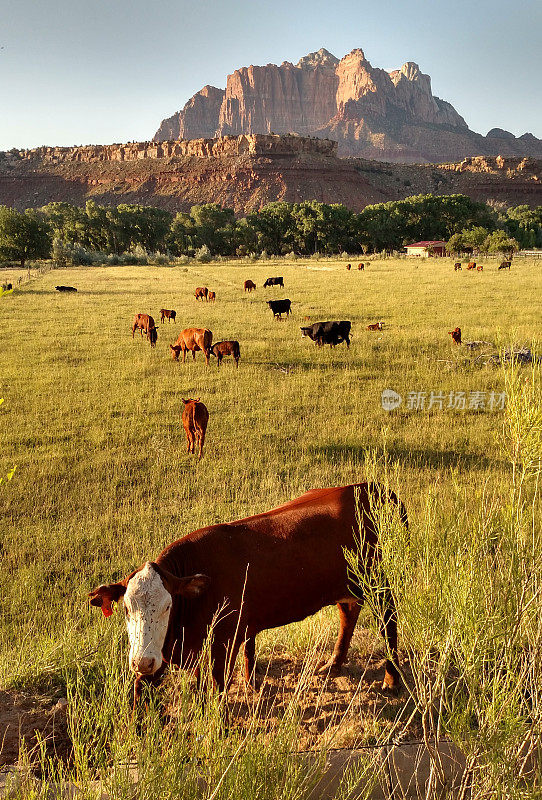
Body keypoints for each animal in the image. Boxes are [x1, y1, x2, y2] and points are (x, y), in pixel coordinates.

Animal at [90, 482, 408, 708]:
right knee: (348, 614)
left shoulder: (222, 644)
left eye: (168, 606)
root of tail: (368, 487)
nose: (141, 662)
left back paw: (392, 678)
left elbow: (217, 688)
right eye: (127, 609)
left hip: (379, 584)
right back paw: (333, 664)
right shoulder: (163, 652)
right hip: (347, 587)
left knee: (388, 623)